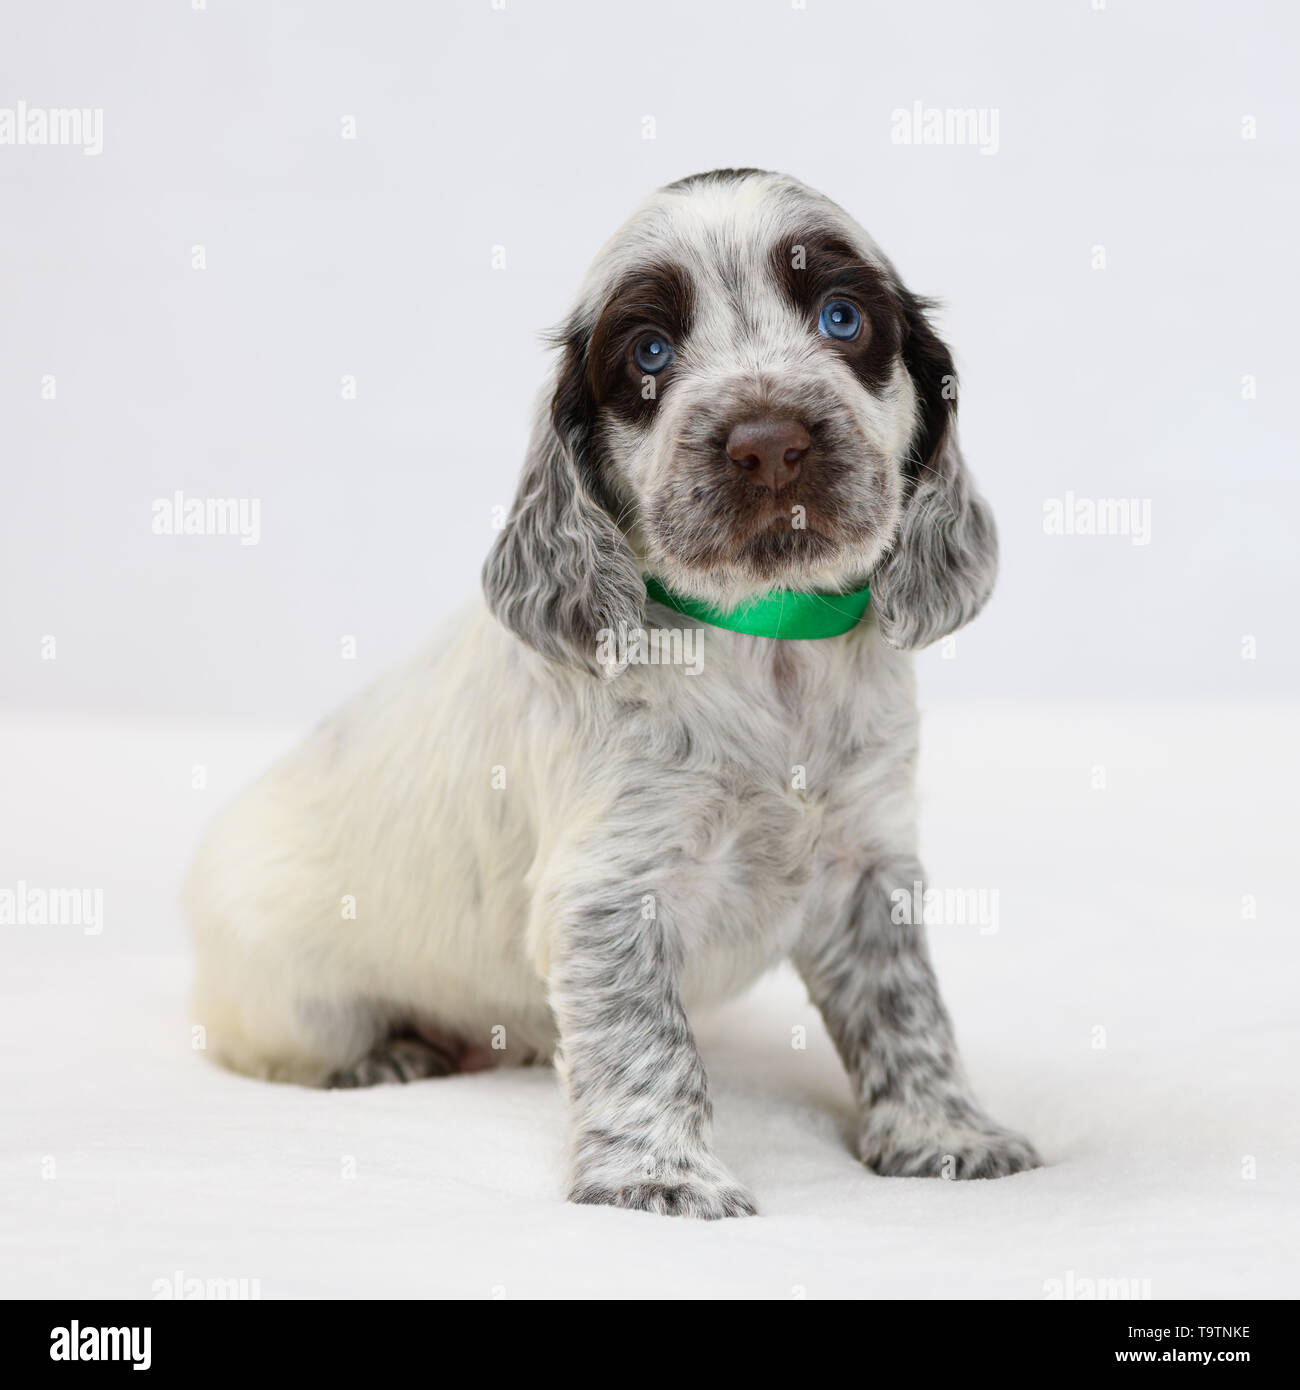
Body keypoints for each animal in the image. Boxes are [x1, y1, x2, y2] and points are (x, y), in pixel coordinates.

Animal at [183, 165, 1040, 1217]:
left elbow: (906, 1008)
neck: (764, 644)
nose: (767, 443)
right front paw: (661, 1178)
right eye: (649, 353)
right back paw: (387, 1056)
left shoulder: (869, 866)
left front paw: (944, 1131)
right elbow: (648, 1044)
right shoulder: (608, 891)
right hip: (286, 991)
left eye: (843, 318)